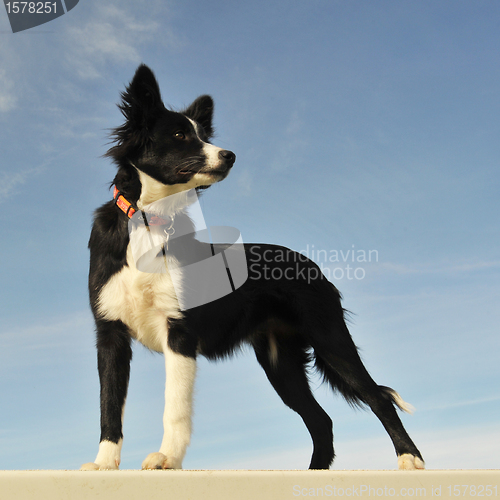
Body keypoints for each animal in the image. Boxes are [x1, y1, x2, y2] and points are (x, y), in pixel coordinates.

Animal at [81, 64, 422, 470]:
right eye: (180, 135)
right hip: (281, 361)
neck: (150, 219)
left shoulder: (179, 331)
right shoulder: (110, 334)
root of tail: (309, 263)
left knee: (377, 398)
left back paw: (410, 459)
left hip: (330, 338)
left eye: (203, 134)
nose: (229, 155)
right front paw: (103, 464)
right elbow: (108, 406)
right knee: (320, 419)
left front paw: (166, 458)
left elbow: (174, 406)